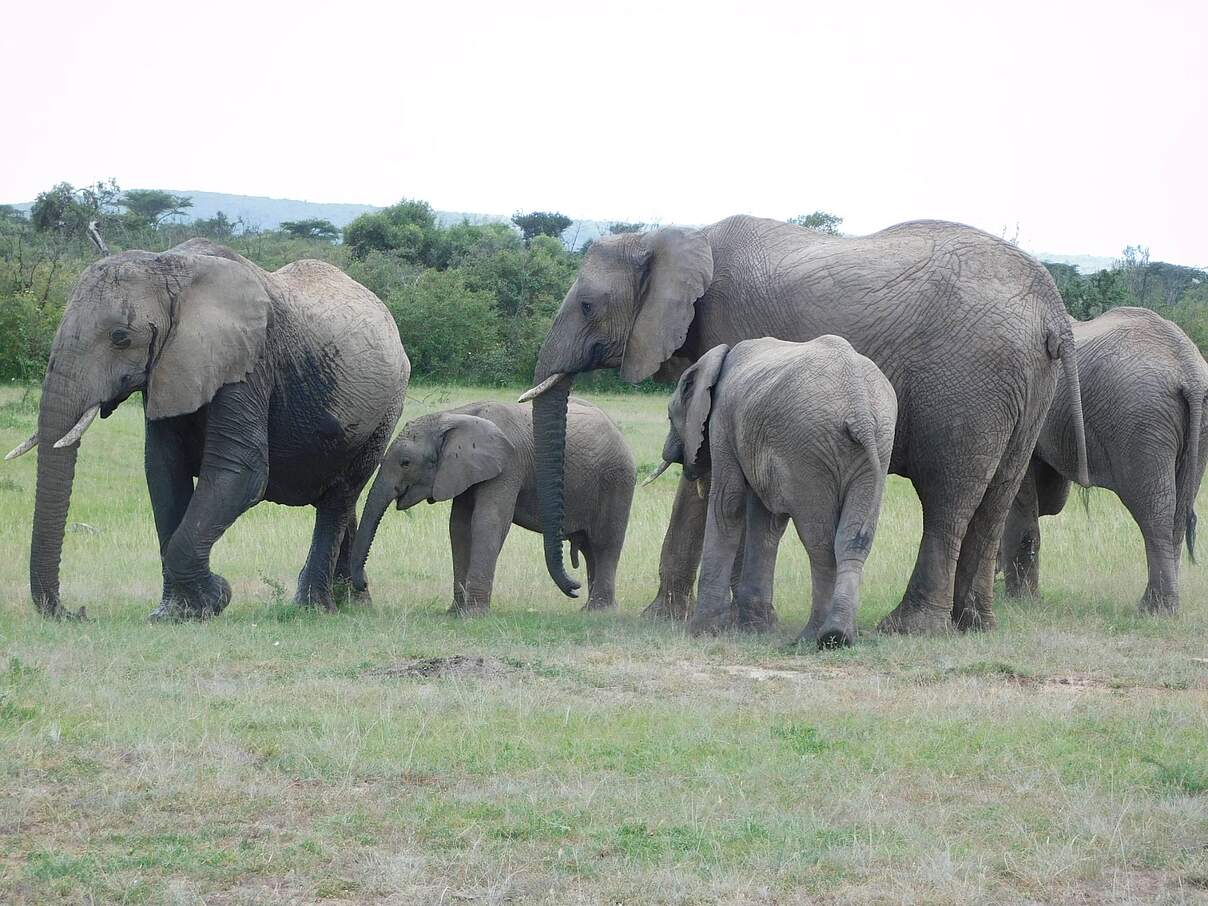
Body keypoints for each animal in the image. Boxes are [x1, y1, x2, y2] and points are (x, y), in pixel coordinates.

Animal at [5, 238, 409, 620]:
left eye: (121, 337)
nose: (77, 612)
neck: (171, 267)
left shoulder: (247, 362)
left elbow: (240, 473)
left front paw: (214, 597)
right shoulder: (170, 367)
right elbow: (163, 472)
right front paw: (176, 613)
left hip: (386, 409)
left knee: (339, 496)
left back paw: (312, 608)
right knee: (341, 497)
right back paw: (352, 602)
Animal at [349, 399, 635, 613]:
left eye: (406, 463)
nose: (361, 584)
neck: (455, 416)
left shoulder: (508, 464)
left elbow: (489, 521)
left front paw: (473, 614)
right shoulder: (464, 469)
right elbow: (459, 527)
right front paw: (456, 612)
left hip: (617, 479)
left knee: (605, 543)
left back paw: (598, 610)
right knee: (588, 548)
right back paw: (589, 608)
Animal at [652, 337, 897, 646]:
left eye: (669, 417)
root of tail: (860, 407)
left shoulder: (722, 422)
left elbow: (727, 504)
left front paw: (700, 631)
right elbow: (766, 522)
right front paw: (754, 628)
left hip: (809, 449)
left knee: (820, 543)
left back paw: (815, 636)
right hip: (875, 448)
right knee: (853, 540)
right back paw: (840, 635)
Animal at [999, 307, 1208, 613]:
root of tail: (1189, 371)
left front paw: (1020, 602)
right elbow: (1049, 500)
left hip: (1140, 422)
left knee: (1154, 509)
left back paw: (1153, 609)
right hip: (1193, 426)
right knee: (1180, 510)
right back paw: (1160, 605)